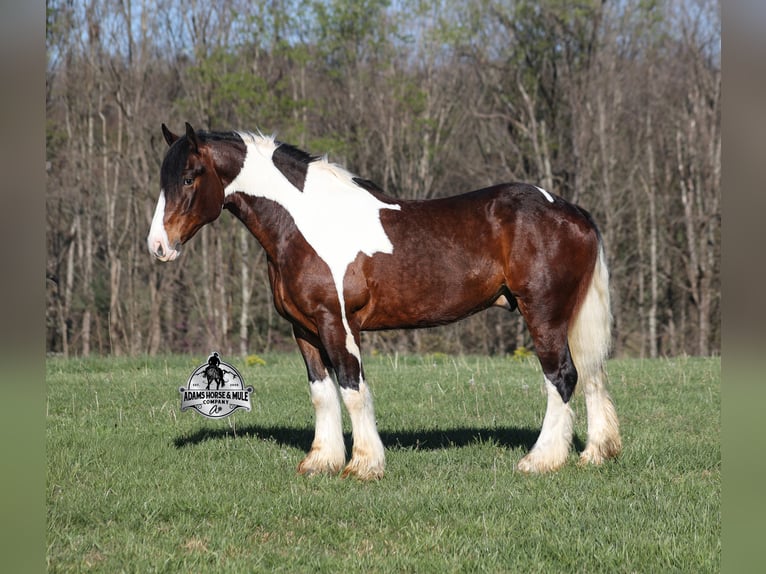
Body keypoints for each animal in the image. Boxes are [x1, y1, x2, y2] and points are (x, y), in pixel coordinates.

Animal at [147, 122, 621, 480]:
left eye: (189, 177)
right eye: (163, 180)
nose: (158, 247)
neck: (308, 222)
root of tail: (571, 211)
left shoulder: (337, 323)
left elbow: (352, 388)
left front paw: (363, 465)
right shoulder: (304, 328)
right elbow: (322, 393)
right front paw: (320, 461)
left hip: (542, 313)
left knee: (561, 376)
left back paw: (540, 461)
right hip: (568, 318)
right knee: (592, 374)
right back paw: (595, 454)